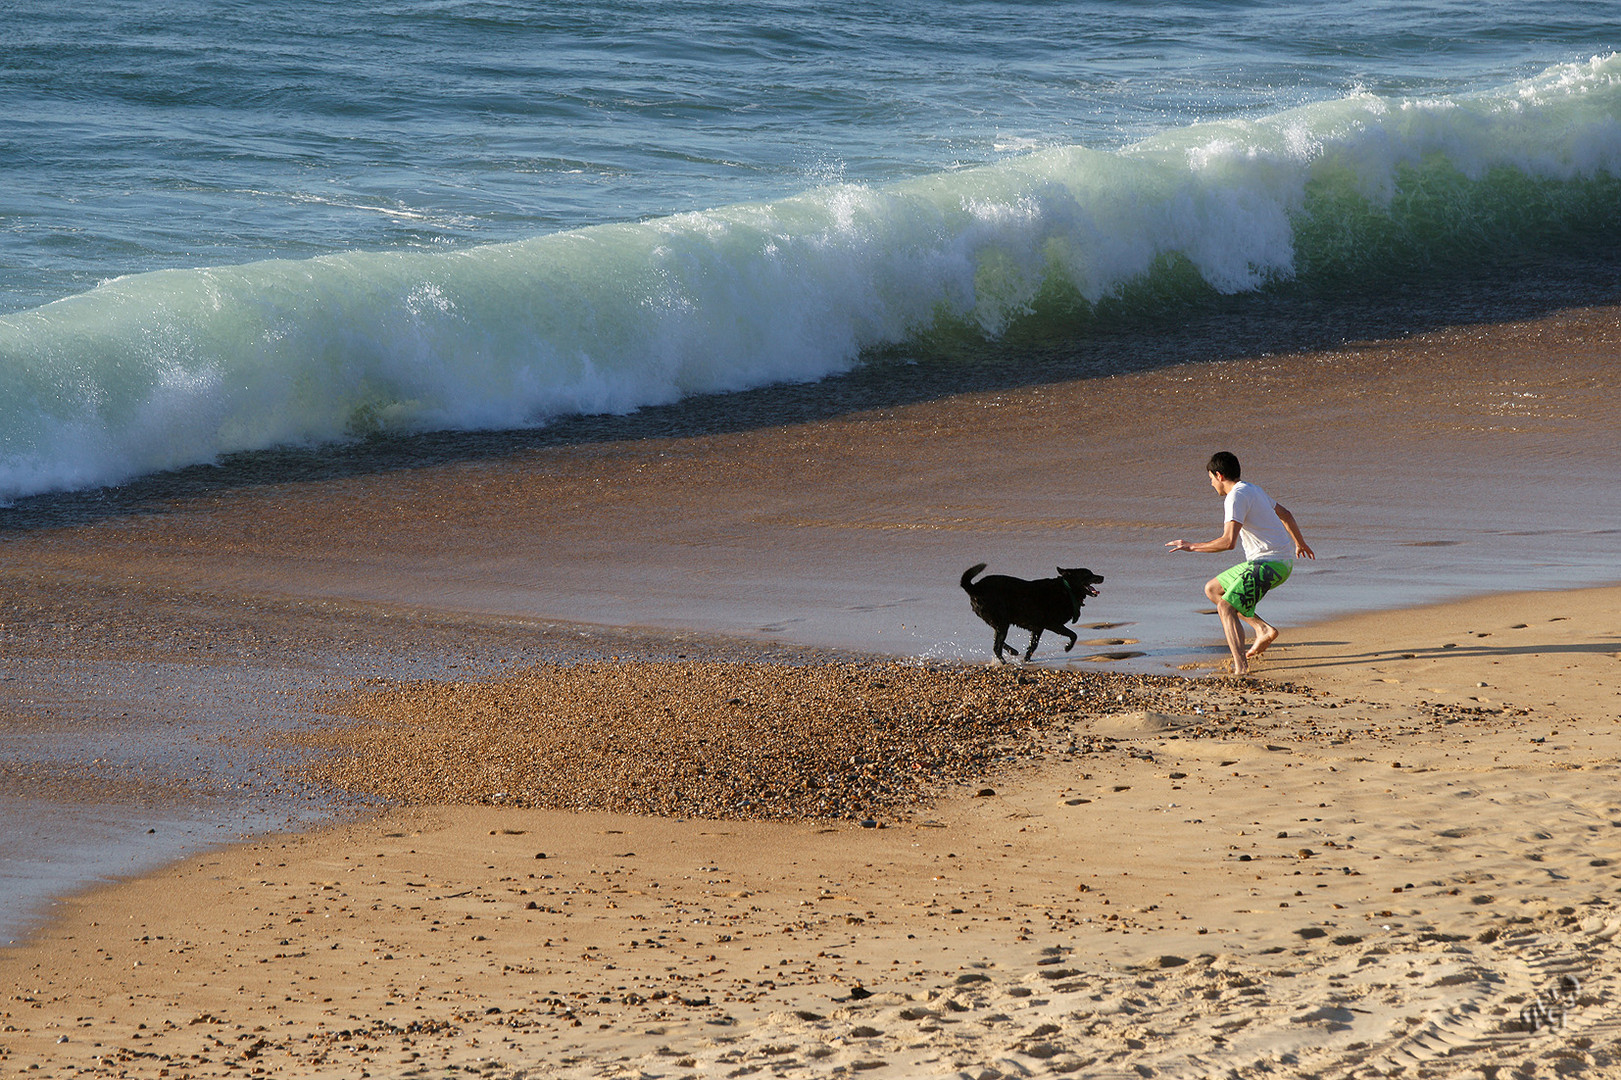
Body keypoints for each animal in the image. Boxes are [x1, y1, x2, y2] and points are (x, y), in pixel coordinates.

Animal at [959, 557, 1102, 661]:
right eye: (1088, 574)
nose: (1102, 577)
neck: (1067, 589)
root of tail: (975, 587)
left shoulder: (1038, 628)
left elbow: (1033, 645)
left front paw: (1027, 659)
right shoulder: (1053, 625)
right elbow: (1073, 635)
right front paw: (1068, 648)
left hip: (999, 622)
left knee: (996, 640)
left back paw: (1013, 651)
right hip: (1002, 622)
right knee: (996, 647)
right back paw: (1005, 662)